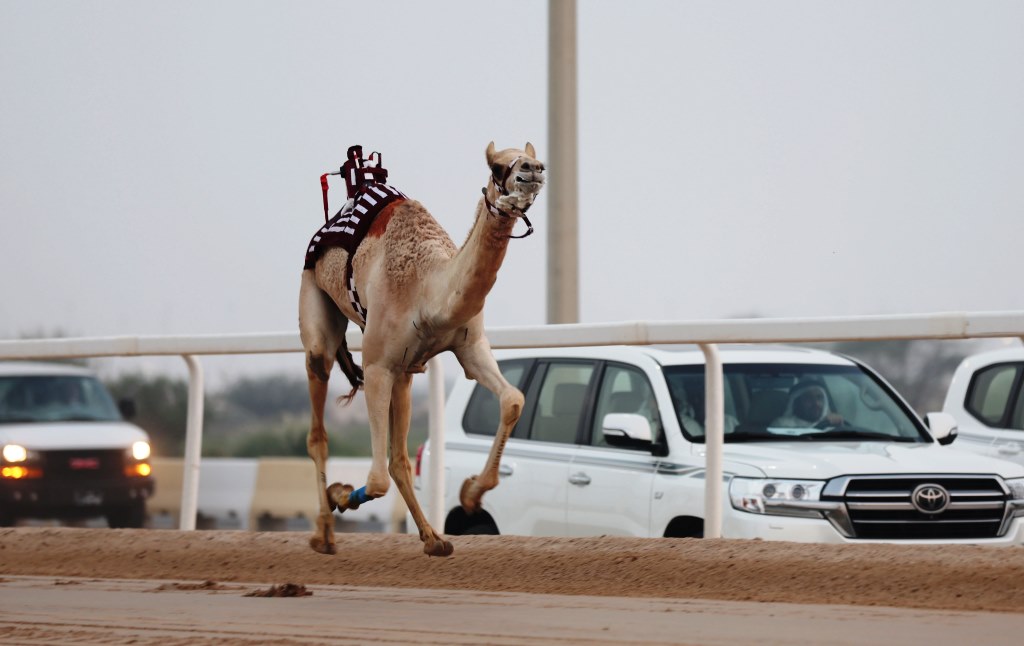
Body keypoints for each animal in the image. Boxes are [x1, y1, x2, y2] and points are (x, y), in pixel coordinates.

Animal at [299, 141, 544, 556]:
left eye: (533, 157)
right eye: (497, 167)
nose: (534, 169)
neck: (428, 289)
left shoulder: (470, 347)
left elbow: (513, 399)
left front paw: (472, 493)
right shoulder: (377, 364)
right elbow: (376, 480)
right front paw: (341, 494)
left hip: (406, 373)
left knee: (399, 457)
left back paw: (433, 538)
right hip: (316, 308)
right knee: (319, 427)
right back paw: (325, 533)